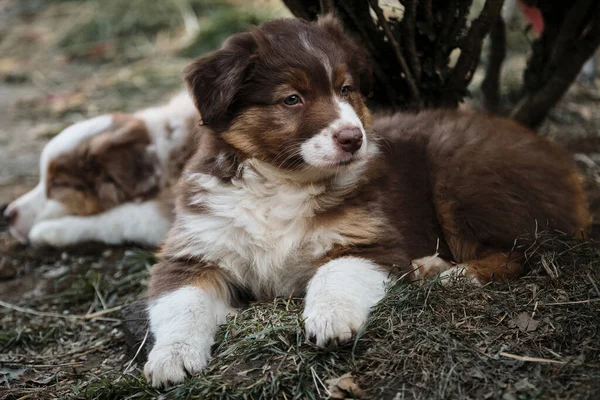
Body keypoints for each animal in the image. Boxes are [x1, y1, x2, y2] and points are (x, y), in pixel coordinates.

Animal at [142, 16, 592, 388]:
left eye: (346, 89)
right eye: (292, 99)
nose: (352, 138)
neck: (285, 181)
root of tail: (563, 160)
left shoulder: (367, 239)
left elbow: (335, 273)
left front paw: (330, 318)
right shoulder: (194, 251)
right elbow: (180, 304)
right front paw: (170, 359)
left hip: (462, 174)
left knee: (526, 250)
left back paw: (451, 275)